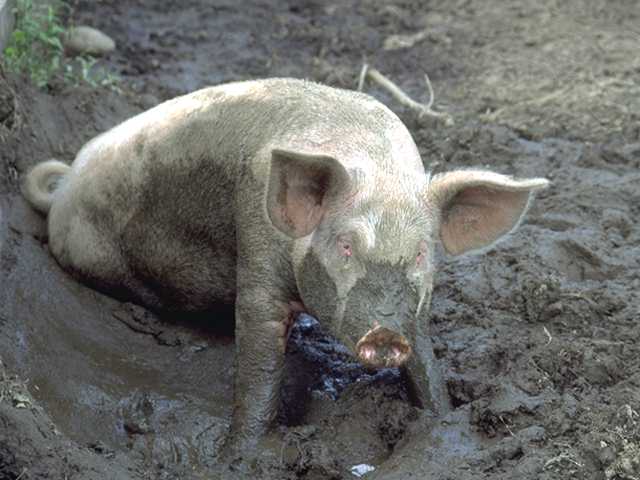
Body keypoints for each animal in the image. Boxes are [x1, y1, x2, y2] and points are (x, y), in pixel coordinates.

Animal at [22, 78, 548, 454]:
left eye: (420, 253)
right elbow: (259, 363)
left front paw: (442, 419)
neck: (376, 168)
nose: (384, 333)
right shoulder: (256, 251)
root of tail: (63, 187)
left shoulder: (413, 308)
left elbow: (425, 359)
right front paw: (239, 454)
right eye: (346, 247)